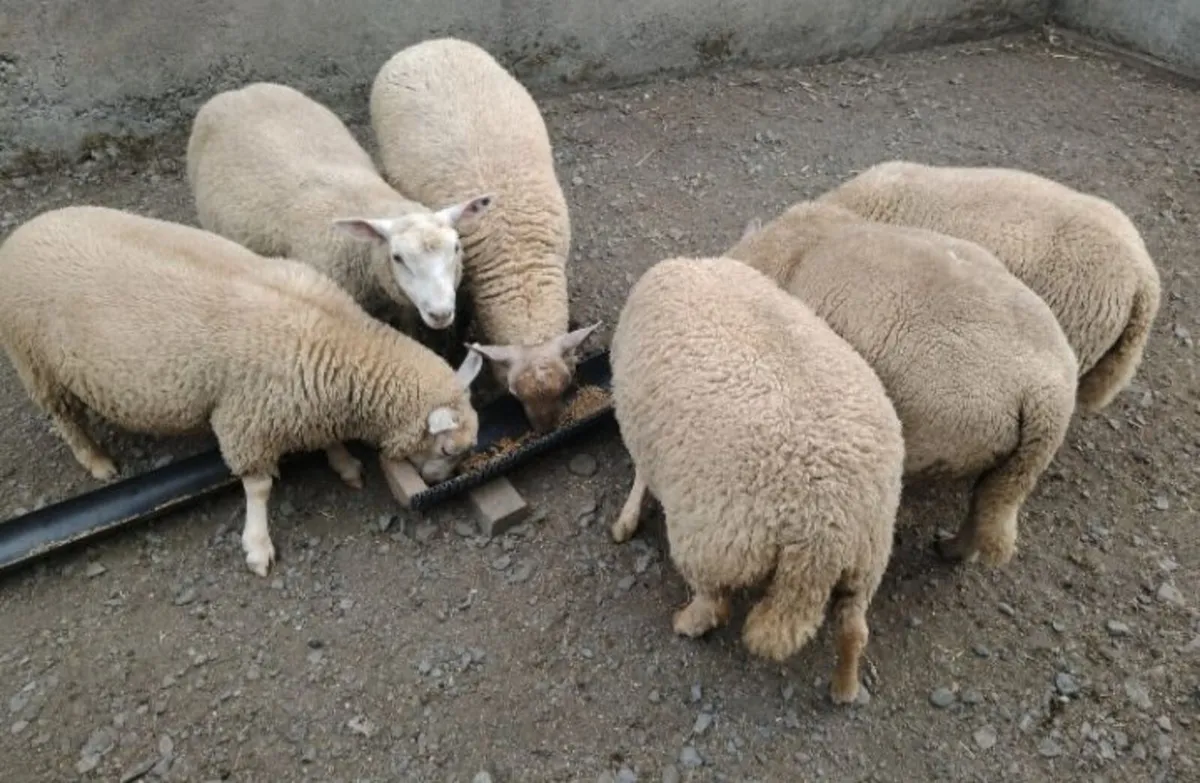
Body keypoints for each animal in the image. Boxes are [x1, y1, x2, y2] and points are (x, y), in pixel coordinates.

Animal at [0, 205, 485, 577]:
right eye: (446, 449)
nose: (437, 483)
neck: (335, 338)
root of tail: (22, 233)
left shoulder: (306, 401)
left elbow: (327, 437)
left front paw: (344, 464)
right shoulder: (246, 419)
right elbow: (258, 487)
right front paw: (257, 545)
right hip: (35, 362)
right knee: (64, 417)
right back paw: (97, 461)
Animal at [369, 37, 599, 432]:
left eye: (568, 384)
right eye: (514, 394)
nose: (545, 429)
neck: (520, 263)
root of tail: (428, 43)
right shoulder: (462, 281)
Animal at [609, 255, 904, 705]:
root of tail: (822, 533)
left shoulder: (642, 431)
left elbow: (641, 476)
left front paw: (625, 520)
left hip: (714, 545)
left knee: (714, 606)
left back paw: (685, 622)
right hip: (867, 560)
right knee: (854, 630)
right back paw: (844, 688)